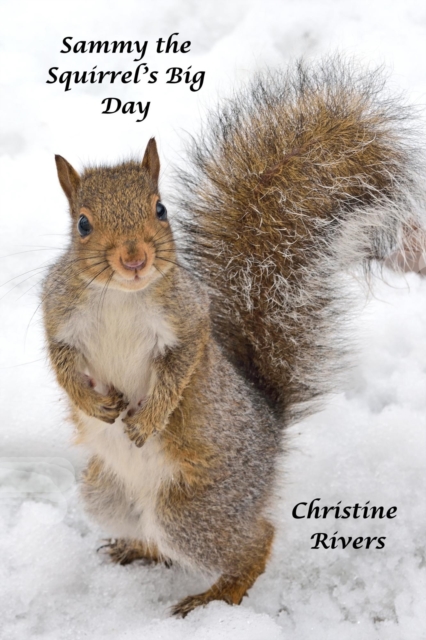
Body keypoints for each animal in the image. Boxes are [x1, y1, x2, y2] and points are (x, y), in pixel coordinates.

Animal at [42, 58, 425, 617]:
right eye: (83, 224)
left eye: (160, 210)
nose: (134, 259)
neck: (121, 297)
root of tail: (270, 429)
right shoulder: (58, 318)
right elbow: (63, 365)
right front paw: (91, 404)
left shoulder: (188, 320)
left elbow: (181, 368)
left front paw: (150, 417)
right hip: (105, 495)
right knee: (155, 535)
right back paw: (138, 547)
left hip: (196, 508)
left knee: (255, 540)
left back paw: (215, 596)